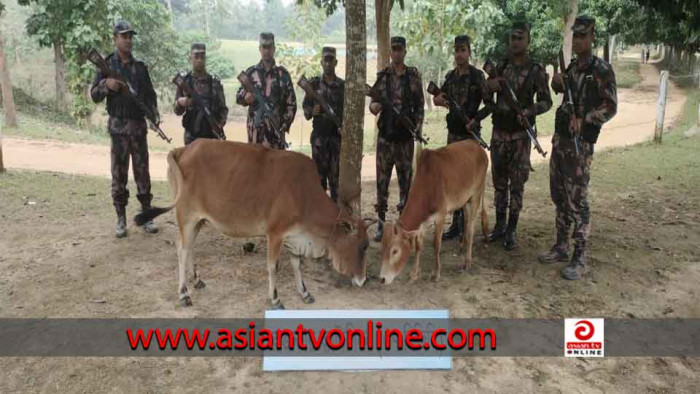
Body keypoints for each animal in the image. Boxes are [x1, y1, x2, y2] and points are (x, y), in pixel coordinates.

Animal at [137, 140, 374, 310]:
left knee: (189, 248)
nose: (363, 281)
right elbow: (273, 267)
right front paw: (275, 299)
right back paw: (184, 293)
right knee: (182, 249)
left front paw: (304, 292)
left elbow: (297, 265)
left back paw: (197, 280)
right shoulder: (275, 233)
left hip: (199, 220)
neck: (303, 194)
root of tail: (182, 149)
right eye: (362, 246)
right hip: (186, 216)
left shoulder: (295, 236)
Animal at [380, 140, 490, 284]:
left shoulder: (440, 215)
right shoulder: (423, 220)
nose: (382, 278)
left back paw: (467, 261)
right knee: (466, 222)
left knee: (471, 227)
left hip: (476, 195)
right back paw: (462, 246)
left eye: (395, 251)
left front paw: (436, 273)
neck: (428, 186)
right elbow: (418, 244)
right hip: (464, 200)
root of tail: (479, 147)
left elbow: (436, 244)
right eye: (383, 247)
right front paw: (414, 273)